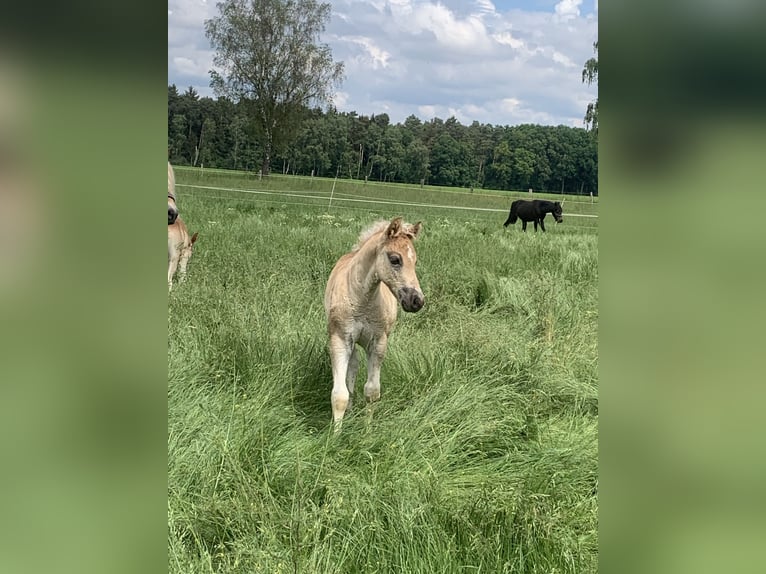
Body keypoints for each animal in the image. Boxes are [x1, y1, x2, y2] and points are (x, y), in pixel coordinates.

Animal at [324, 218, 426, 430]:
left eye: (415, 261)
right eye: (395, 259)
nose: (417, 301)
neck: (363, 299)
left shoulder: (378, 342)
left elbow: (372, 391)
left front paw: (368, 431)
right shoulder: (339, 340)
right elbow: (339, 395)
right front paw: (335, 435)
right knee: (353, 367)